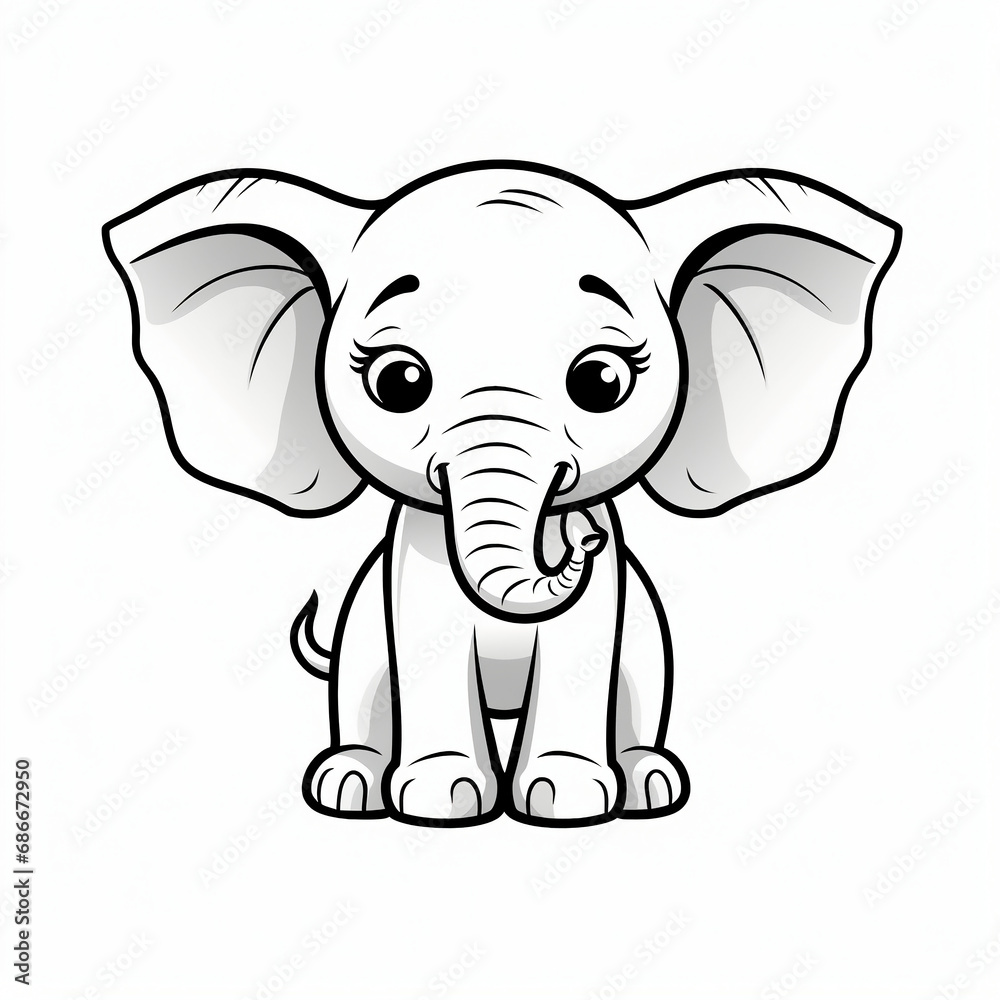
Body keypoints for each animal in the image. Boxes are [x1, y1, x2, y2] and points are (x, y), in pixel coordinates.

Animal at [104, 160, 900, 827]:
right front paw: (443, 800)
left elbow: (586, 647)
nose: (578, 539)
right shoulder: (415, 557)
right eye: (398, 381)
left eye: (601, 381)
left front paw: (566, 801)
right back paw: (349, 784)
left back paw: (648, 783)